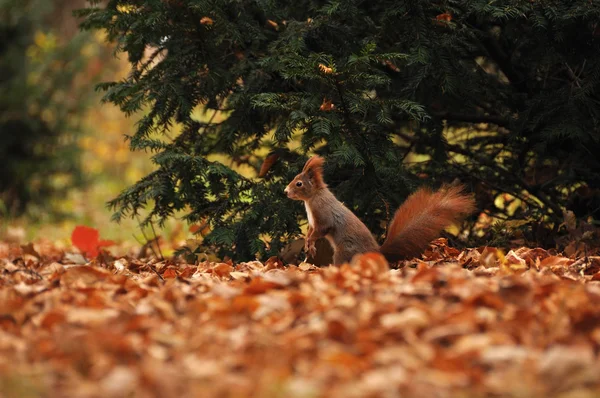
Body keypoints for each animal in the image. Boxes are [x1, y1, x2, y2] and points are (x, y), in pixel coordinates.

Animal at [284, 155, 476, 264]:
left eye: (299, 183)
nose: (285, 191)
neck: (312, 198)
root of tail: (377, 253)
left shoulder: (323, 215)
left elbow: (322, 230)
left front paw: (310, 243)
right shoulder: (312, 221)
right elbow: (310, 231)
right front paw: (308, 244)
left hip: (345, 251)